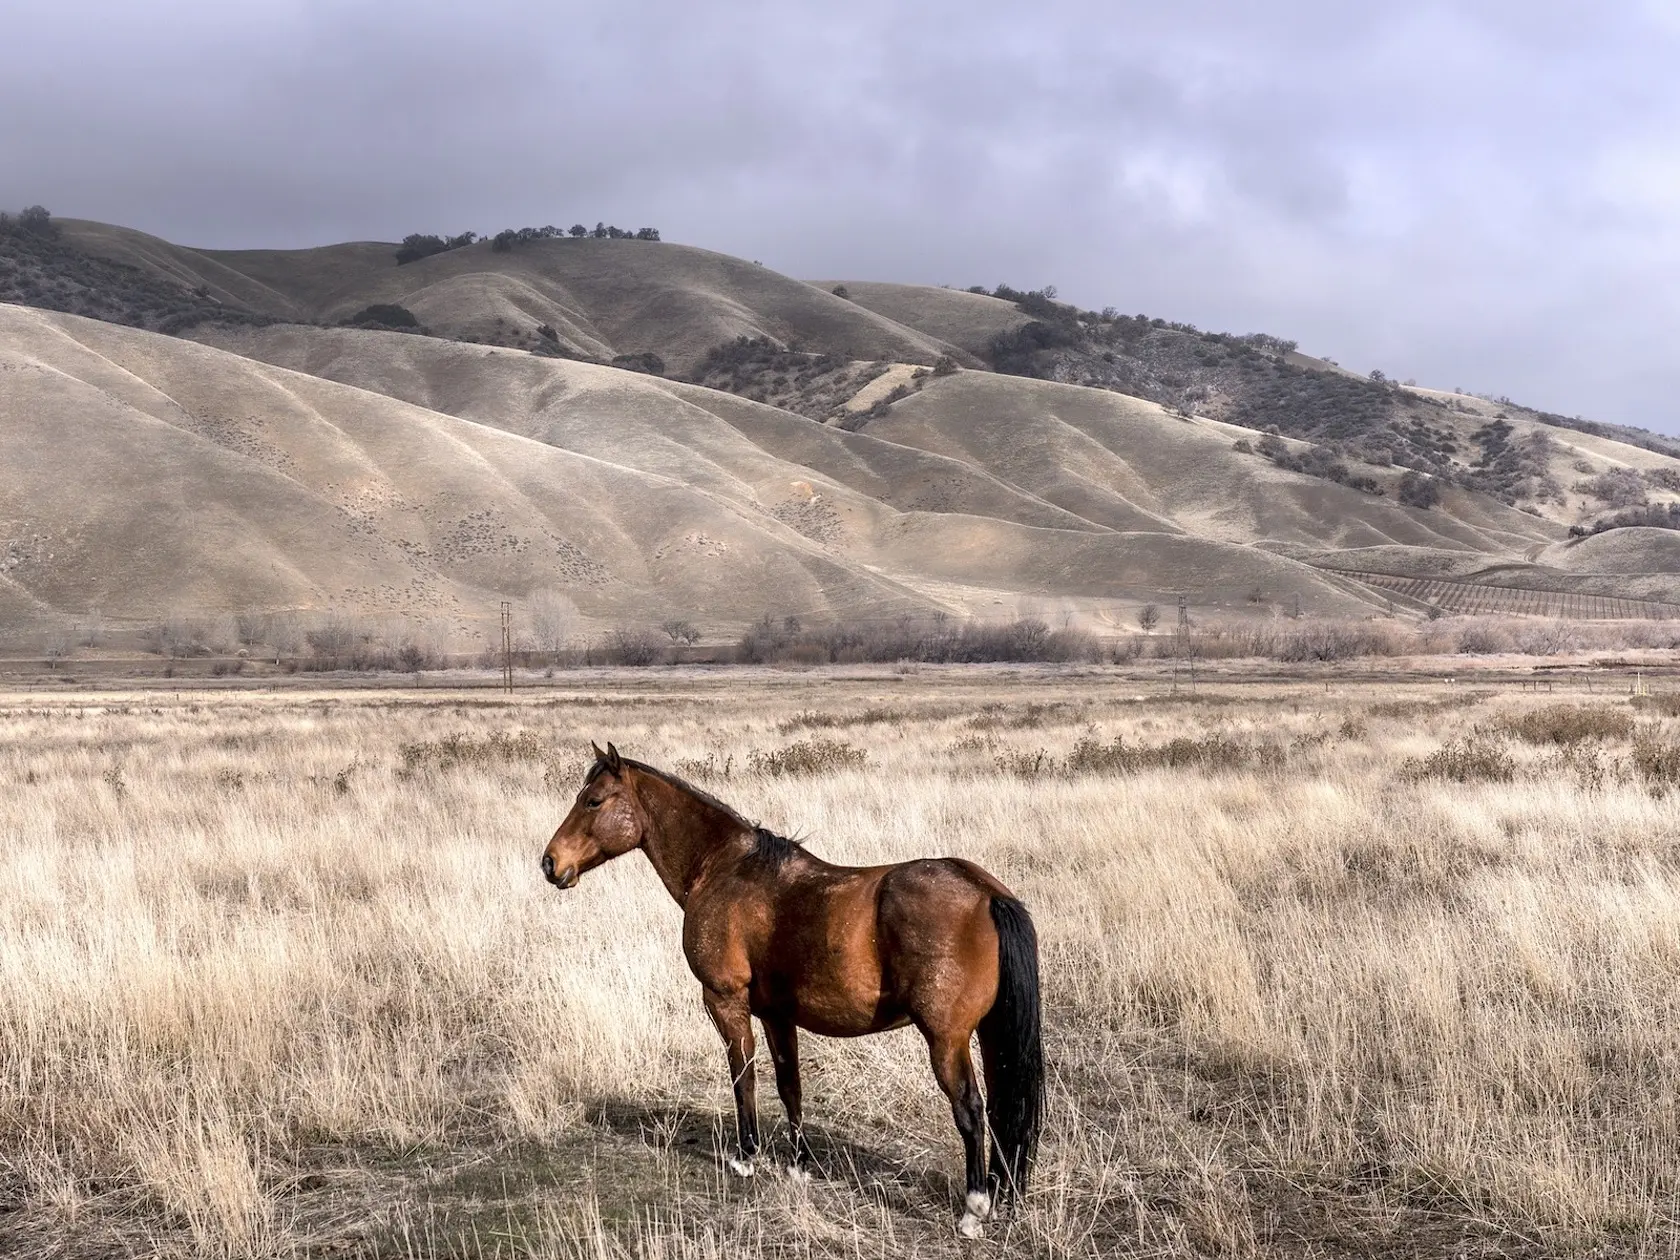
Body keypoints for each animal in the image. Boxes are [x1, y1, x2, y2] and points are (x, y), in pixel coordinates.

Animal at [540, 745, 1034, 1236]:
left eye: (593, 802)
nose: (549, 863)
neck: (724, 869)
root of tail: (986, 893)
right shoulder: (777, 1014)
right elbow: (789, 1085)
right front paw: (798, 1164)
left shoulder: (725, 1000)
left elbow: (744, 1076)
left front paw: (746, 1157)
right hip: (988, 1035)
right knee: (1001, 1108)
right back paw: (999, 1191)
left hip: (946, 1040)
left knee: (970, 1110)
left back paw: (973, 1208)